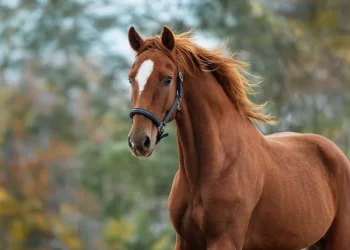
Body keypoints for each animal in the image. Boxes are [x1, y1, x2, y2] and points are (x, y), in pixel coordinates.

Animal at [126, 25, 350, 250]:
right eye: (131, 78)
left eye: (167, 79)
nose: (139, 141)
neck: (215, 165)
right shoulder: (185, 241)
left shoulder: (224, 240)